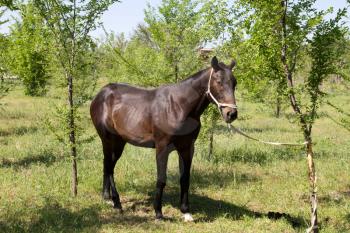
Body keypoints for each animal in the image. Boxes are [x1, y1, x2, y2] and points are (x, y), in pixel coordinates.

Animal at [90, 56, 238, 220]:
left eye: (235, 83)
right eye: (218, 81)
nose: (231, 114)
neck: (178, 107)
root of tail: (101, 93)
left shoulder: (187, 148)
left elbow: (185, 178)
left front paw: (186, 212)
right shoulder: (162, 147)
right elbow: (161, 179)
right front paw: (158, 212)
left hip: (119, 142)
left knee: (107, 164)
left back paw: (107, 198)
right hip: (108, 140)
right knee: (109, 167)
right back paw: (117, 203)